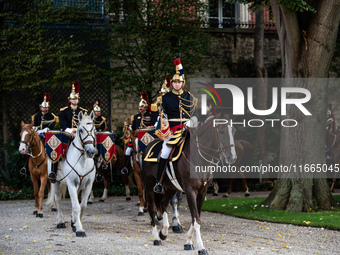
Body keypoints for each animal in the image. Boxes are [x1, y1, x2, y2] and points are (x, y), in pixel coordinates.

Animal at [141, 116, 236, 254]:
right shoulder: (190, 191)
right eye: (222, 131)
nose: (232, 157)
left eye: (233, 131)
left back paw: (164, 232)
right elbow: (196, 219)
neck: (198, 158)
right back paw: (156, 238)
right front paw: (201, 247)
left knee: (163, 203)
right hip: (149, 185)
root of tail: (147, 146)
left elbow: (196, 217)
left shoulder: (202, 192)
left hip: (172, 187)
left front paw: (188, 242)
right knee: (153, 209)